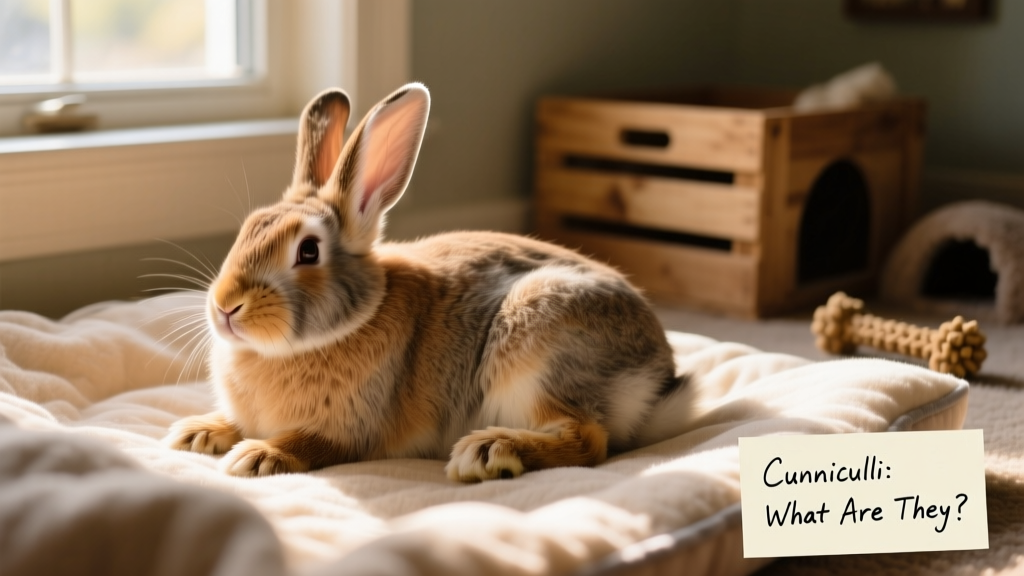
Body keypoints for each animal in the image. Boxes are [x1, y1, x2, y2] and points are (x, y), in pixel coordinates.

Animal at [164, 83, 689, 482]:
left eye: (308, 251)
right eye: (248, 229)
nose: (225, 306)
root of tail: (658, 380)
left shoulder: (351, 430)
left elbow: (309, 443)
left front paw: (257, 456)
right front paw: (195, 433)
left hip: (537, 348)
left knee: (588, 440)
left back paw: (489, 452)